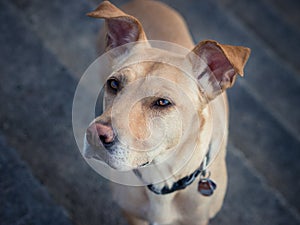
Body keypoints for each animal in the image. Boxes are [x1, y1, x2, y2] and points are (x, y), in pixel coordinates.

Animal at [83, 0, 250, 224]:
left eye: (162, 102)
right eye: (114, 84)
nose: (95, 135)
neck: (162, 175)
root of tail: (144, 2)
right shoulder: (131, 215)